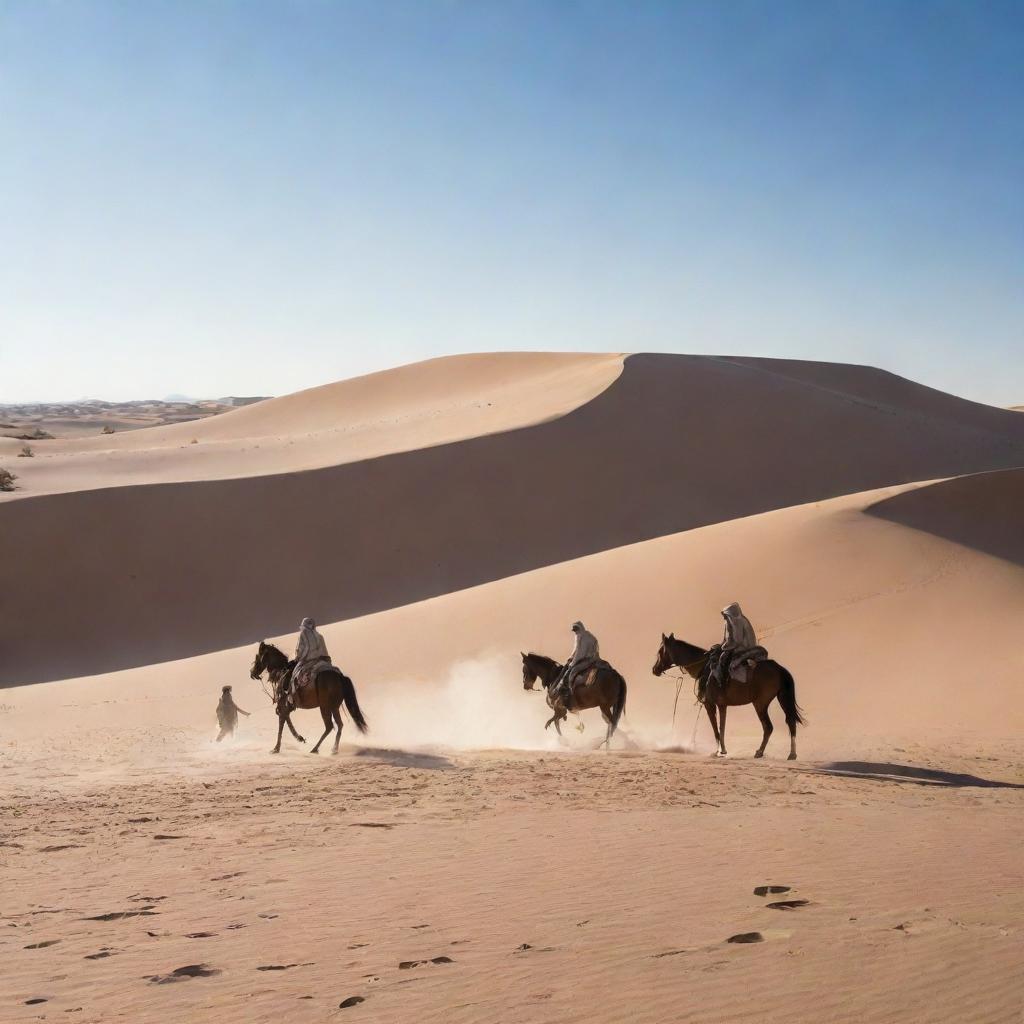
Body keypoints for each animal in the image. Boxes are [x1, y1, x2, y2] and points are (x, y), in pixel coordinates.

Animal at [651, 634, 802, 757]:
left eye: (660, 652)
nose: (654, 669)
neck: (703, 667)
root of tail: (779, 669)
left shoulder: (710, 704)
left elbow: (716, 728)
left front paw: (718, 751)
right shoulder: (723, 705)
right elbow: (722, 726)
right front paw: (722, 750)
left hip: (760, 703)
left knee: (768, 727)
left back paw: (760, 752)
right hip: (782, 698)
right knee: (790, 721)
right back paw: (792, 754)